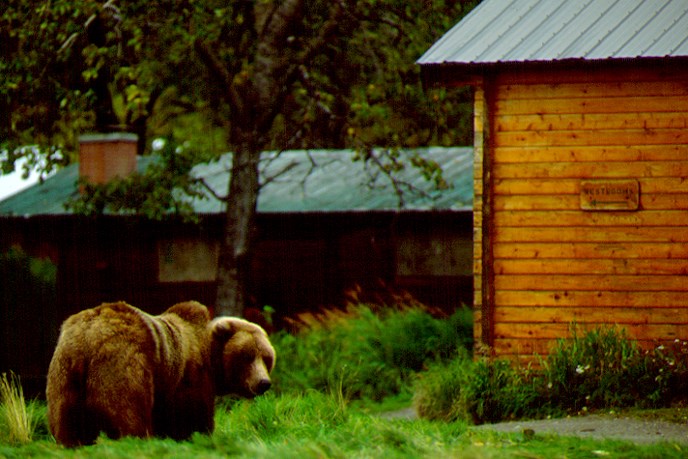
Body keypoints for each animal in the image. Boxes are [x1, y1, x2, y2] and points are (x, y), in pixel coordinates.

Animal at [43, 302, 276, 450]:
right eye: (247, 356)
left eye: (267, 358)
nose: (263, 383)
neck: (210, 357)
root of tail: (90, 334)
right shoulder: (190, 376)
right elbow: (192, 419)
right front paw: (200, 437)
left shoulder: (167, 387)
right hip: (122, 363)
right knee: (128, 413)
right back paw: (135, 441)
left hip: (65, 369)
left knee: (65, 419)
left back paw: (71, 444)